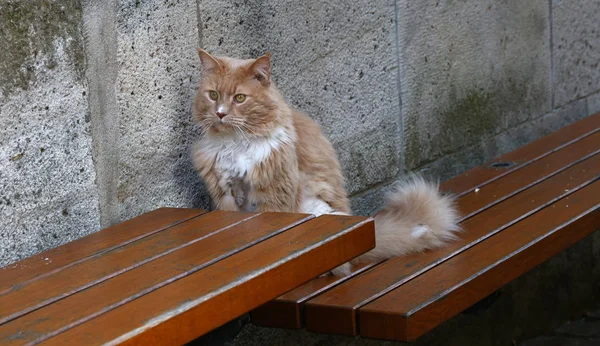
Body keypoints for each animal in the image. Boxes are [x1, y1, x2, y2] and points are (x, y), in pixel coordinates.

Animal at [192, 48, 460, 276]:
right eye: (213, 95)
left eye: (239, 98)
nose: (220, 113)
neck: (236, 143)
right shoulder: (225, 194)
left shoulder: (273, 194)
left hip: (320, 209)